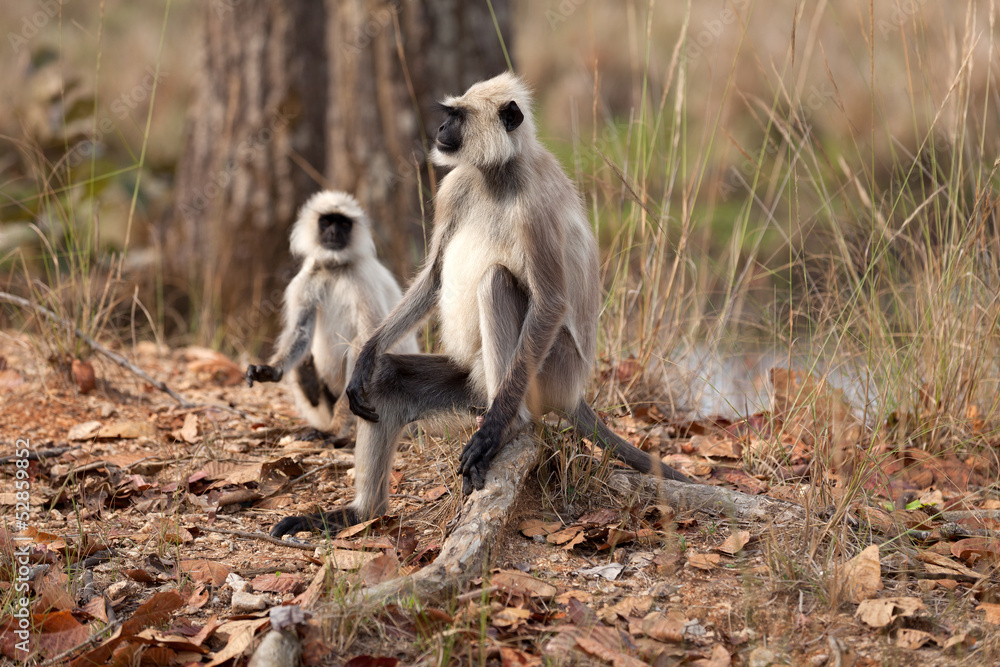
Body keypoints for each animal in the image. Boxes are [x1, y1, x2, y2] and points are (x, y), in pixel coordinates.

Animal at [247, 192, 418, 444]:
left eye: (344, 224)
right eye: (327, 222)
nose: (335, 233)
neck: (335, 268)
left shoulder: (362, 279)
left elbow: (369, 339)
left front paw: (335, 429)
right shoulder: (308, 278)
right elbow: (300, 331)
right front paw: (269, 371)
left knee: (357, 346)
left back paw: (334, 428)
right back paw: (308, 381)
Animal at [274, 75, 696, 540]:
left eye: (456, 116)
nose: (440, 129)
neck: (498, 174)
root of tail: (574, 392)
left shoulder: (534, 207)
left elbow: (550, 301)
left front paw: (493, 432)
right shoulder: (454, 186)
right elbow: (435, 276)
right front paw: (366, 353)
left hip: (549, 373)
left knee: (496, 283)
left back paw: (508, 425)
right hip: (469, 385)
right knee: (386, 380)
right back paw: (358, 513)